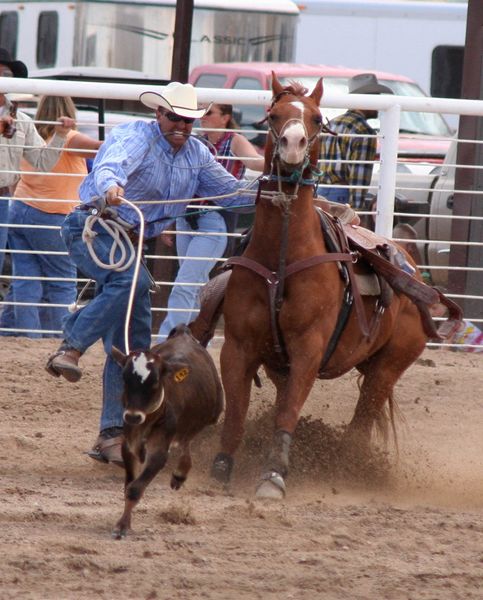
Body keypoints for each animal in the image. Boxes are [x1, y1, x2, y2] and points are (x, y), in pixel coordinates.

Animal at [109, 324, 223, 540]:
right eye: (125, 379)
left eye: (154, 382)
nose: (133, 417)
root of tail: (184, 333)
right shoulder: (129, 445)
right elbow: (129, 485)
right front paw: (125, 522)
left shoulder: (159, 450)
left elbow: (135, 489)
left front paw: (121, 526)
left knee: (186, 442)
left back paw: (180, 474)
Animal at [212, 74, 428, 496]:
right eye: (273, 115)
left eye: (315, 118)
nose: (293, 144)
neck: (281, 260)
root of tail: (408, 263)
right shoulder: (239, 347)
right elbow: (236, 411)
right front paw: (221, 467)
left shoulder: (309, 350)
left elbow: (289, 412)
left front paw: (273, 476)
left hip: (388, 368)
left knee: (362, 420)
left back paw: (349, 468)